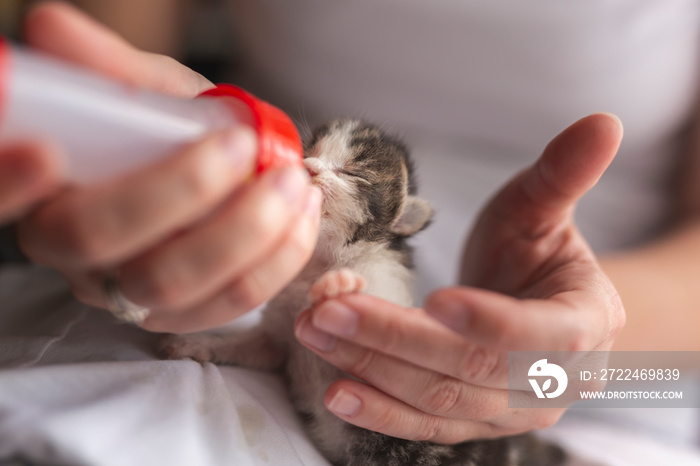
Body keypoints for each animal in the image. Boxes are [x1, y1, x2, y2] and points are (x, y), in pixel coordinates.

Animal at [161, 119, 568, 466]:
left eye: (353, 171)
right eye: (309, 150)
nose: (308, 167)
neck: (323, 259)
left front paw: (337, 289)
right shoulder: (278, 340)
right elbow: (248, 345)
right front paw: (199, 343)